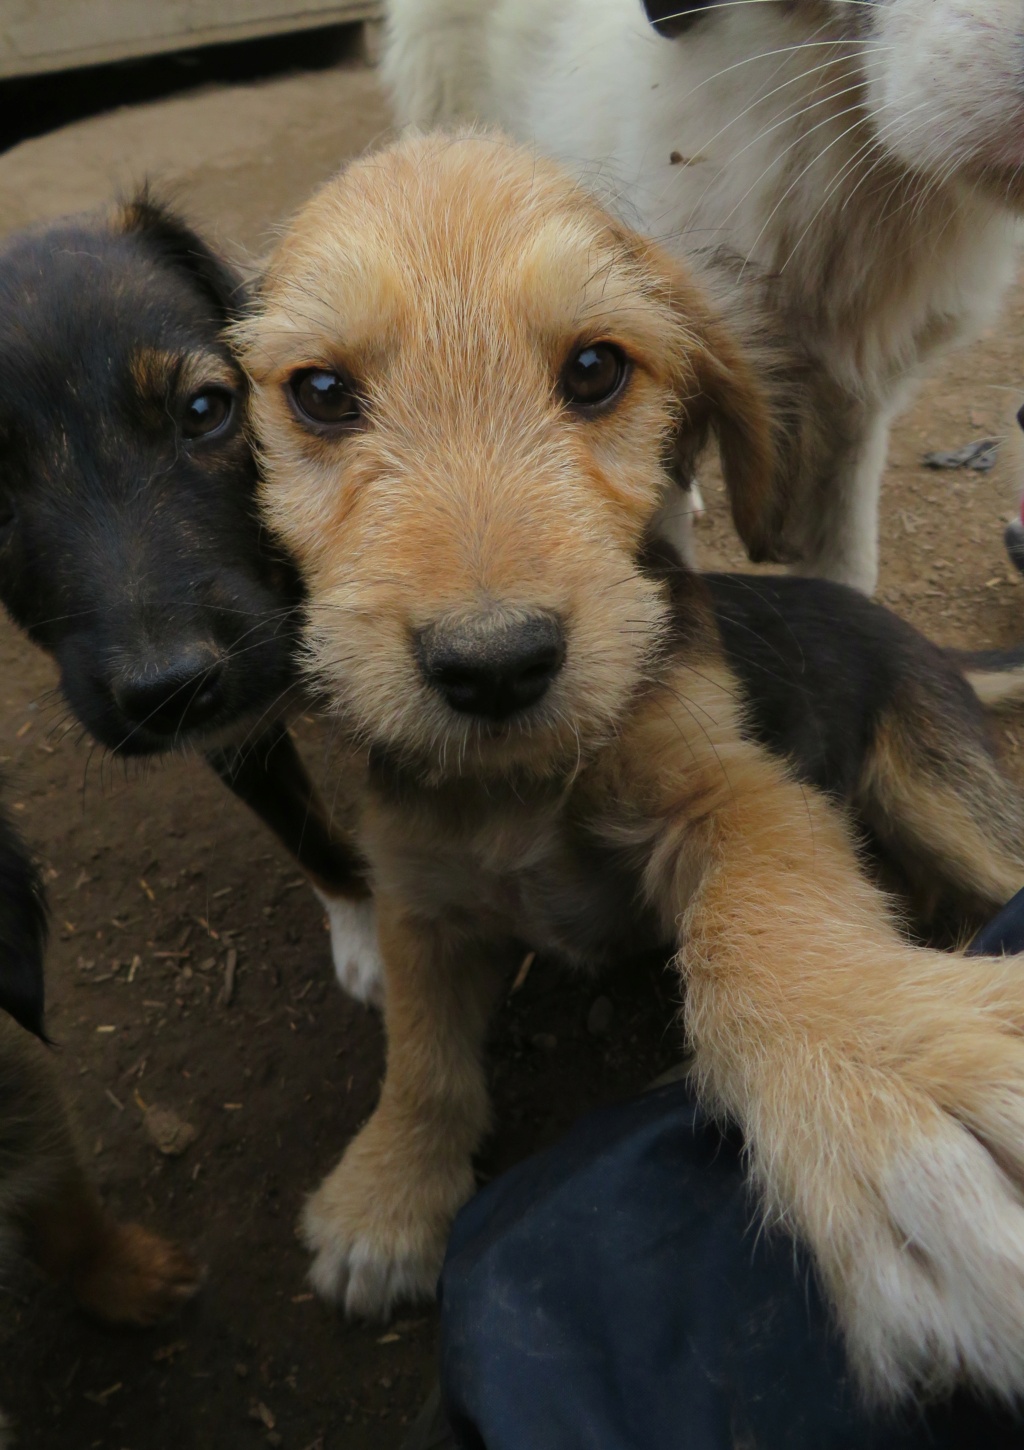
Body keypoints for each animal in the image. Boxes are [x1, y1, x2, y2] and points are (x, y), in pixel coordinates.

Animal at [237, 133, 1024, 1403]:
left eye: (596, 370)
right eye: (318, 393)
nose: (494, 665)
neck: (517, 787)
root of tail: (920, 639)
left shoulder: (731, 791)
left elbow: (761, 914)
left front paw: (881, 1060)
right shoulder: (417, 893)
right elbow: (421, 1056)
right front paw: (390, 1191)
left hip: (938, 788)